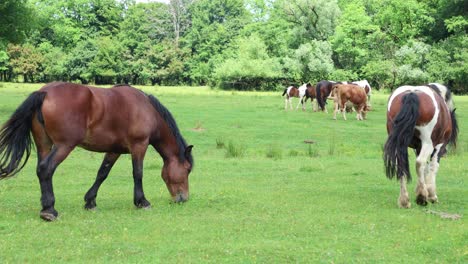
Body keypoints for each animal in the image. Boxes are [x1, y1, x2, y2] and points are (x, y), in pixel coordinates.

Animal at [0, 82, 194, 221]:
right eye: (187, 170)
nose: (183, 198)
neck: (147, 110)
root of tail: (45, 92)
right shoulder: (139, 146)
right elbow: (138, 173)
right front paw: (142, 201)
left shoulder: (114, 151)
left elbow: (102, 173)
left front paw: (90, 201)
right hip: (64, 146)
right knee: (45, 169)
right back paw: (50, 210)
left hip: (44, 145)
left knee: (41, 169)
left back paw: (45, 207)